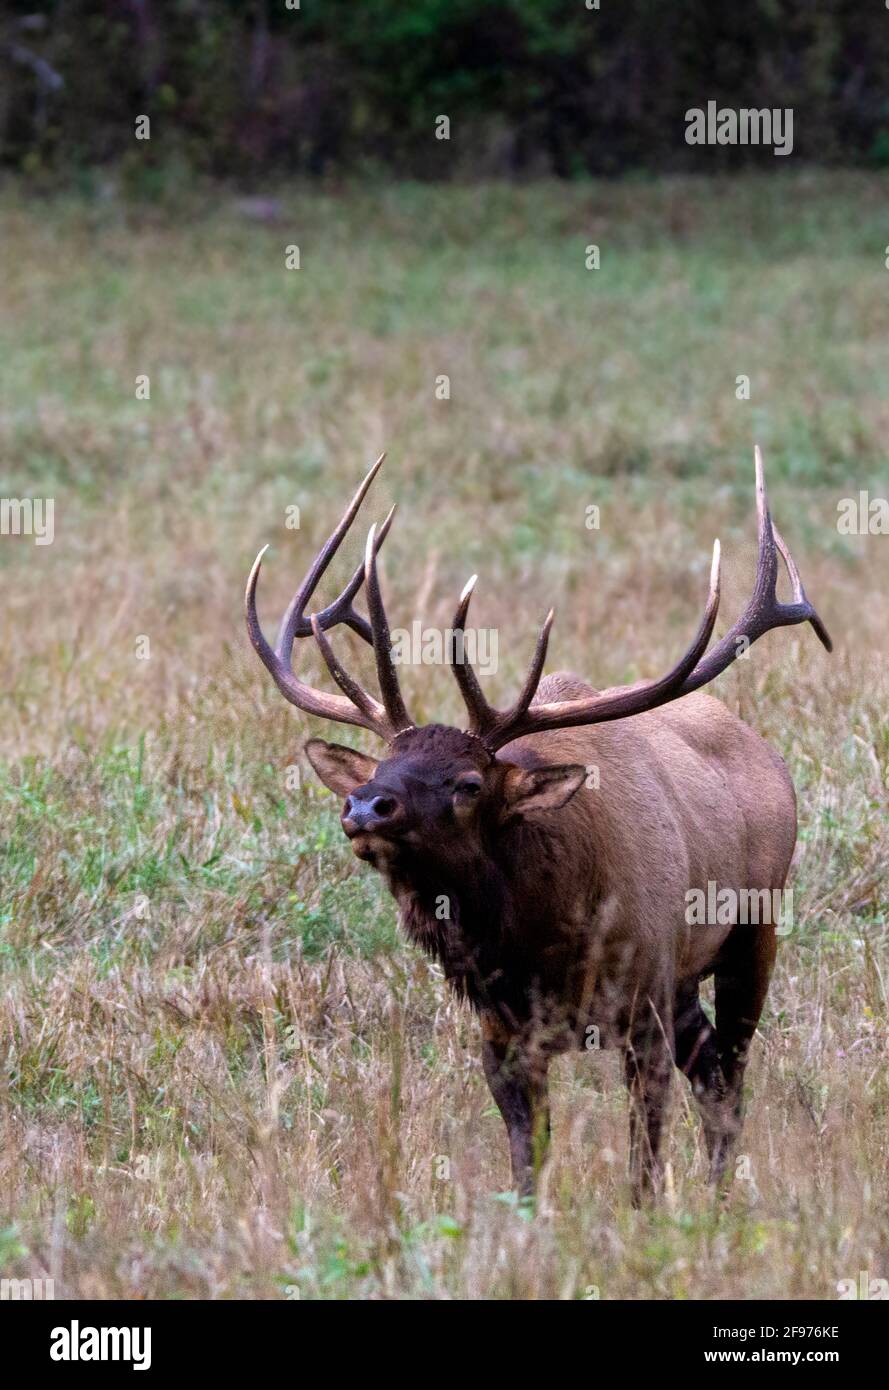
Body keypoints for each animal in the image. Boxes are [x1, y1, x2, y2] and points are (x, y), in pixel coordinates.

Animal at [243, 453, 827, 1195]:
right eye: (384, 765)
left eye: (468, 784)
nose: (366, 806)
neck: (539, 941)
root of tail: (769, 755)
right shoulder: (501, 1033)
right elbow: (527, 1165)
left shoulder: (643, 1001)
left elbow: (642, 1166)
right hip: (685, 979)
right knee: (713, 1074)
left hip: (753, 931)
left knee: (730, 1079)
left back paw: (718, 1202)